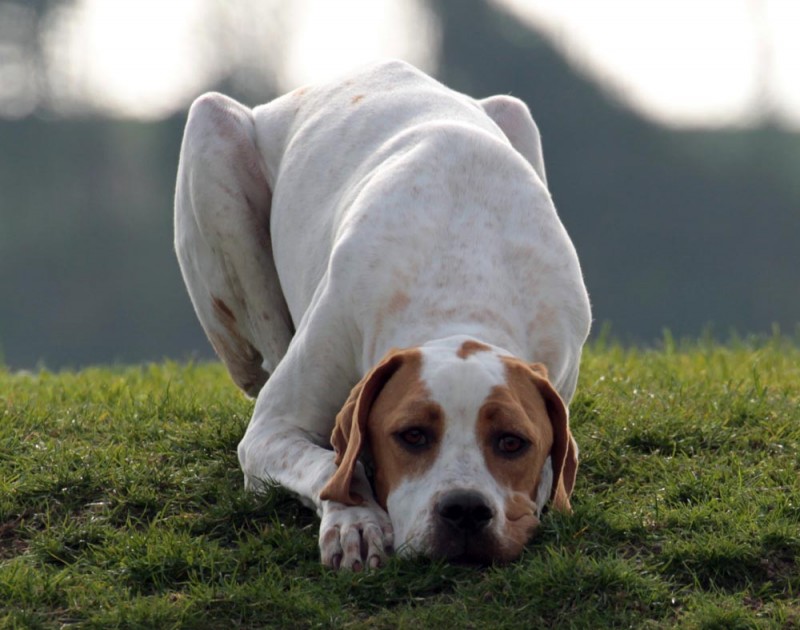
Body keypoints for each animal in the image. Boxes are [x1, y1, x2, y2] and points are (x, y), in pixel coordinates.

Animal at [173, 60, 588, 572]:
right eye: (412, 436)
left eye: (512, 442)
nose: (466, 508)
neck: (461, 293)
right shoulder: (273, 429)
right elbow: (331, 463)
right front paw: (355, 522)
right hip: (212, 132)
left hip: (517, 113)